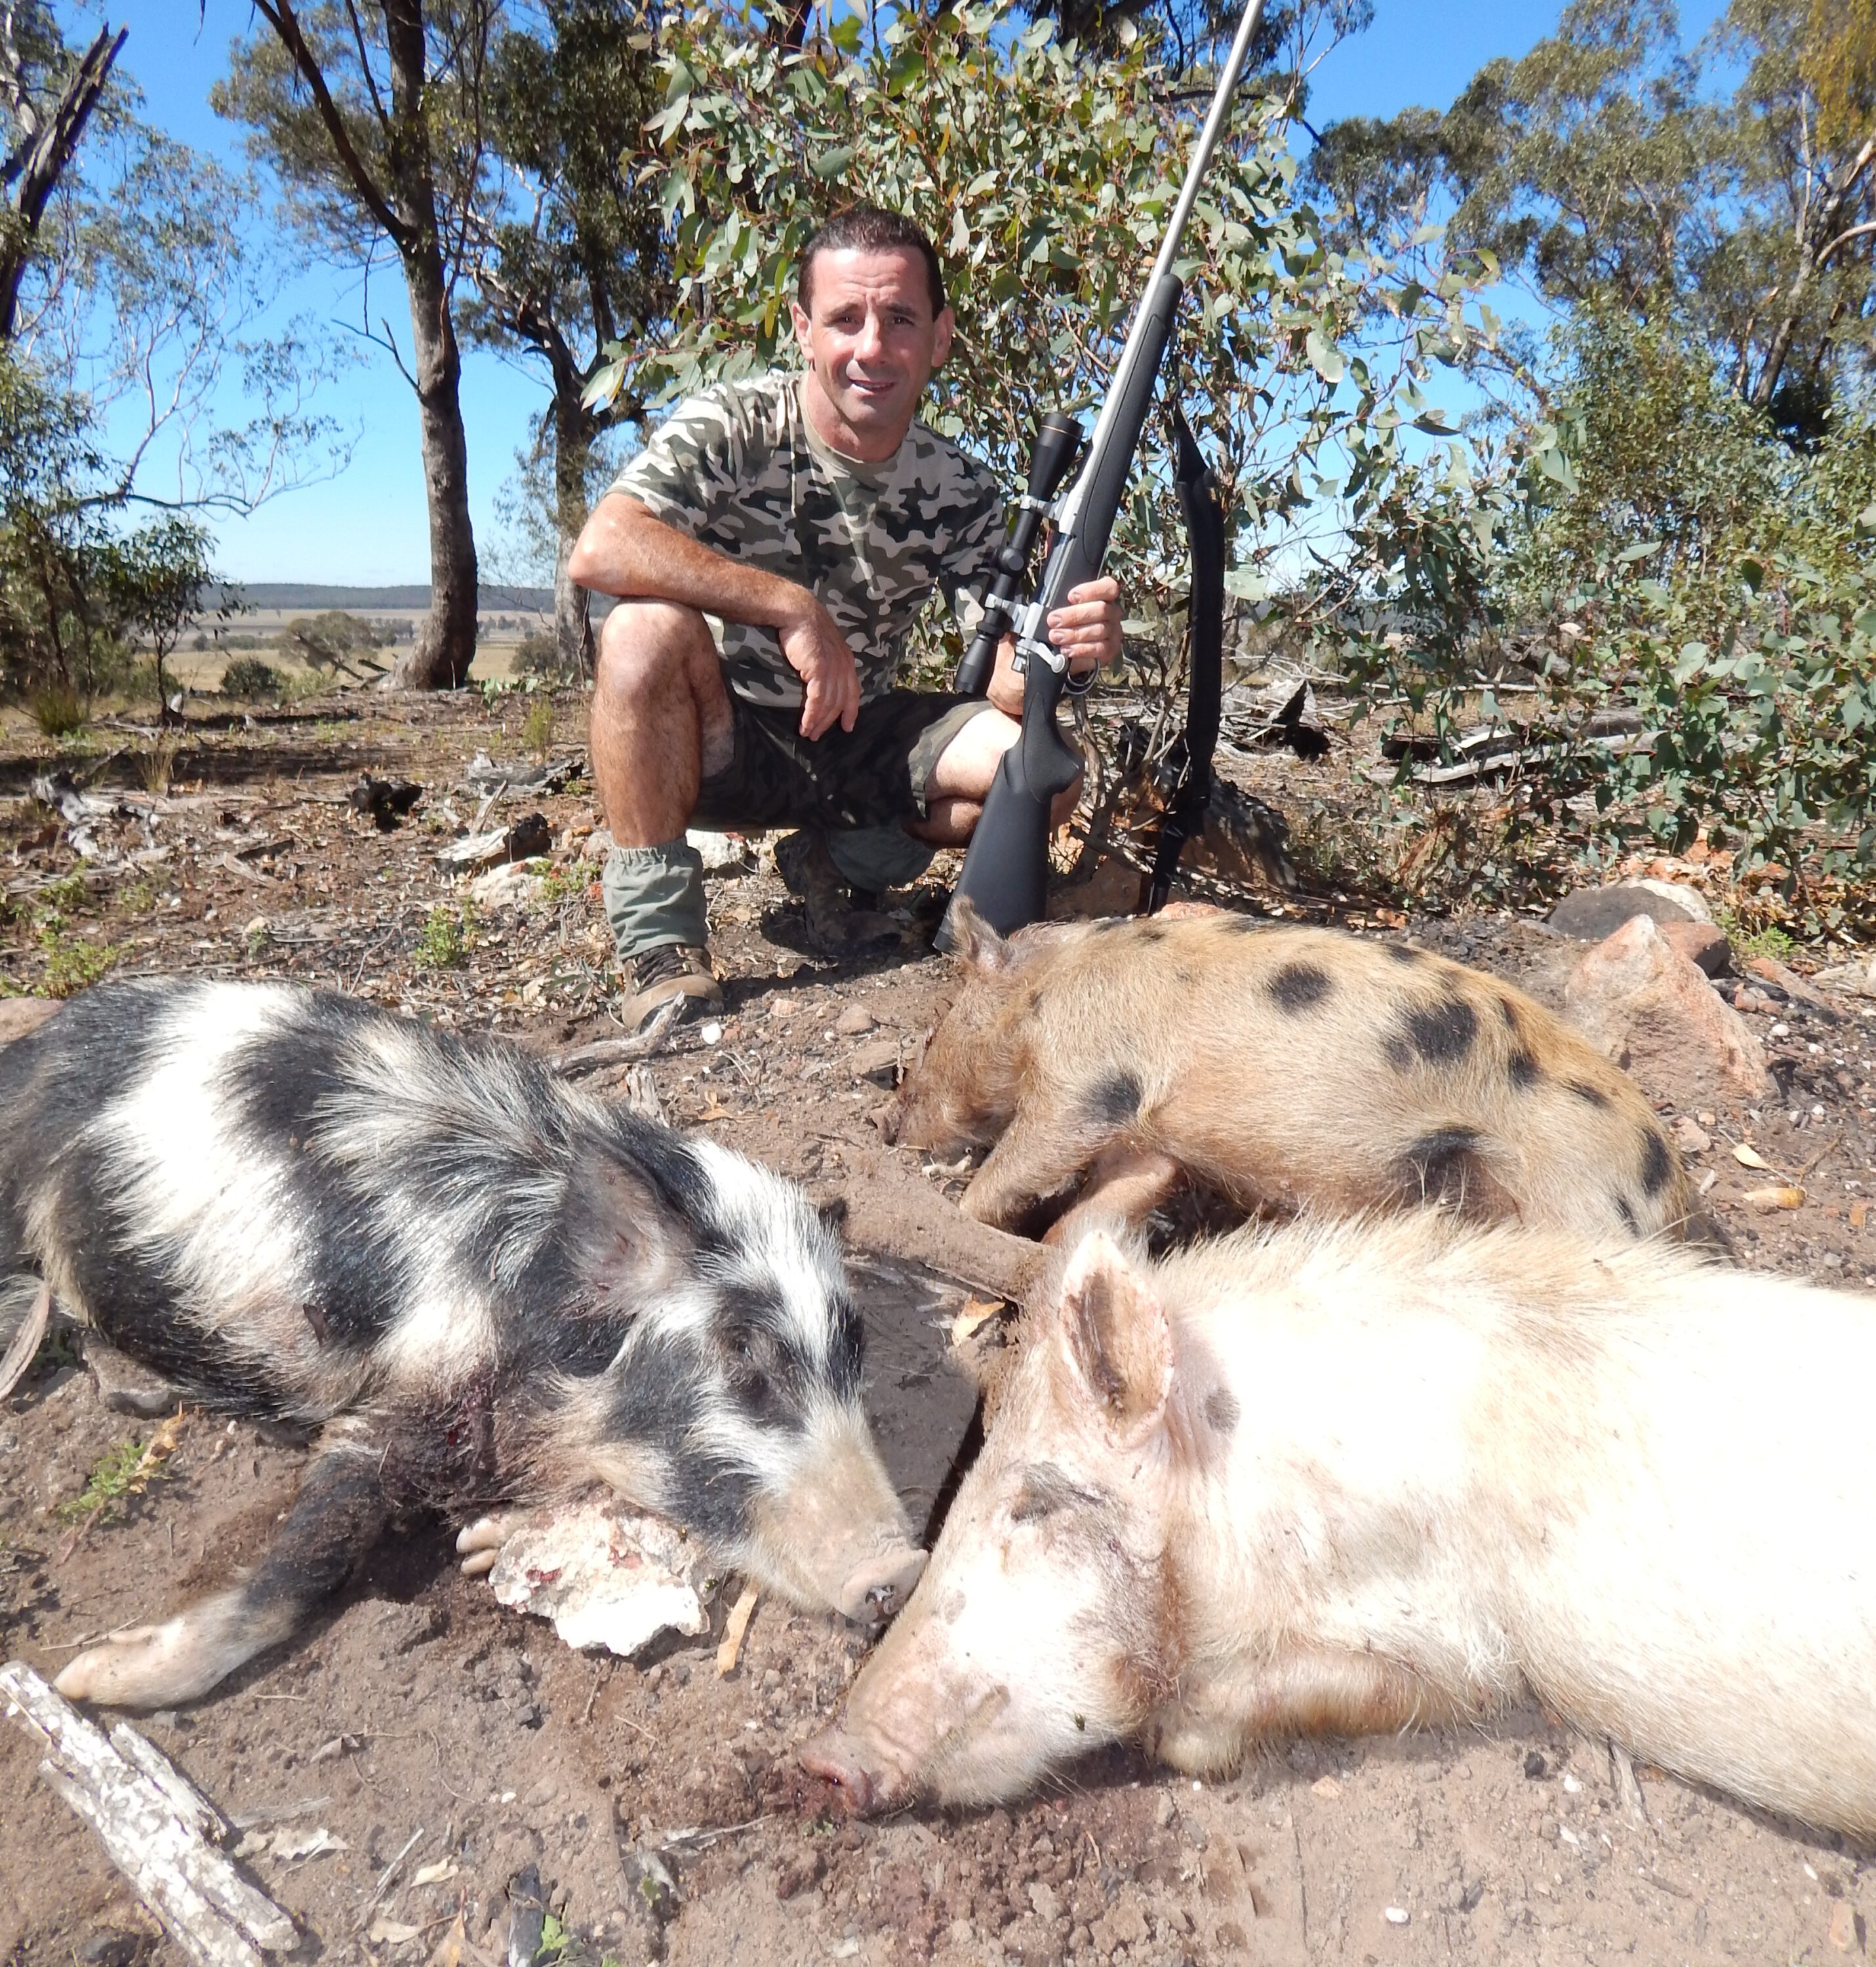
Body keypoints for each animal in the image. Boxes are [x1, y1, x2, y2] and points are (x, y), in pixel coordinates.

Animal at [0, 980, 920, 1707]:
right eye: (740, 1352)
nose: (906, 1569)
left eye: (853, 1360)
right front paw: (89, 1682)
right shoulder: (399, 1398)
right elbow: (310, 1553)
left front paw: (479, 1547)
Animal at [885, 901, 1691, 1235]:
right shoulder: (1148, 1137)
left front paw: (954, 1213)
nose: (888, 1128)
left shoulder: (1092, 1072)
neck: (1047, 986)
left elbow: (1034, 1147)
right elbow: (1120, 1187)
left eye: (930, 1034)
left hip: (1577, 1200)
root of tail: (1676, 1198)